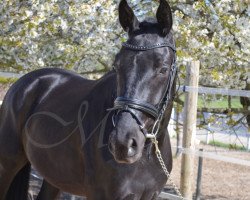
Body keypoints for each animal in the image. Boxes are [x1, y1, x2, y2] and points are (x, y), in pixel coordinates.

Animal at [0, 0, 177, 199]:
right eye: (117, 66)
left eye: (163, 69)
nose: (122, 143)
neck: (147, 155)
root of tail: (22, 83)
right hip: (6, 166)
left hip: (54, 176)